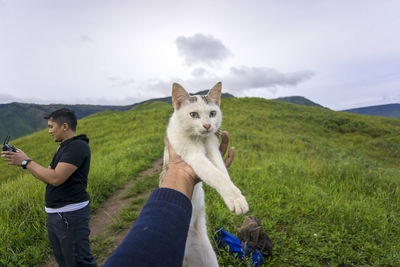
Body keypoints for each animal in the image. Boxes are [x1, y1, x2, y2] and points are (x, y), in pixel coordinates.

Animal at [159, 82, 247, 267]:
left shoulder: (213, 148)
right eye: (193, 114)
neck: (200, 138)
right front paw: (236, 199)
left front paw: (235, 194)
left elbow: (223, 172)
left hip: (207, 256)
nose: (207, 126)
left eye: (212, 113)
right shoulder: (194, 157)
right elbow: (216, 175)